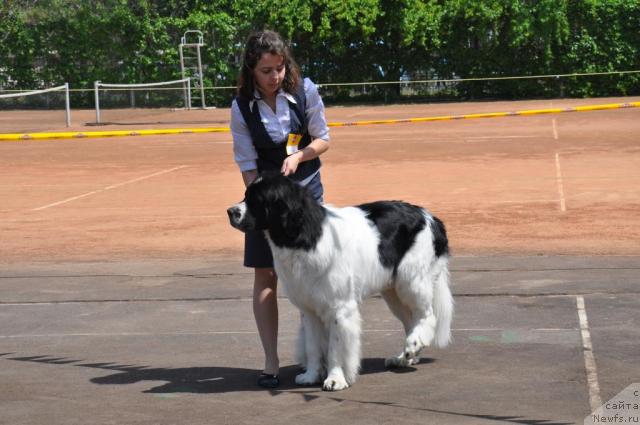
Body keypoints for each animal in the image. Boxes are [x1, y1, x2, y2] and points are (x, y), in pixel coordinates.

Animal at [228, 172, 452, 390]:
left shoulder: (339, 308)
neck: (305, 235)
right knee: (410, 319)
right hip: (393, 291)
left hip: (410, 280)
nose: (230, 211)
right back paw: (405, 356)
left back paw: (413, 345)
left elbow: (335, 347)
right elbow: (312, 346)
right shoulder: (309, 310)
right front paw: (311, 375)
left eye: (257, 200)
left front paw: (335, 379)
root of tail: (430, 217)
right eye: (246, 195)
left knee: (427, 315)